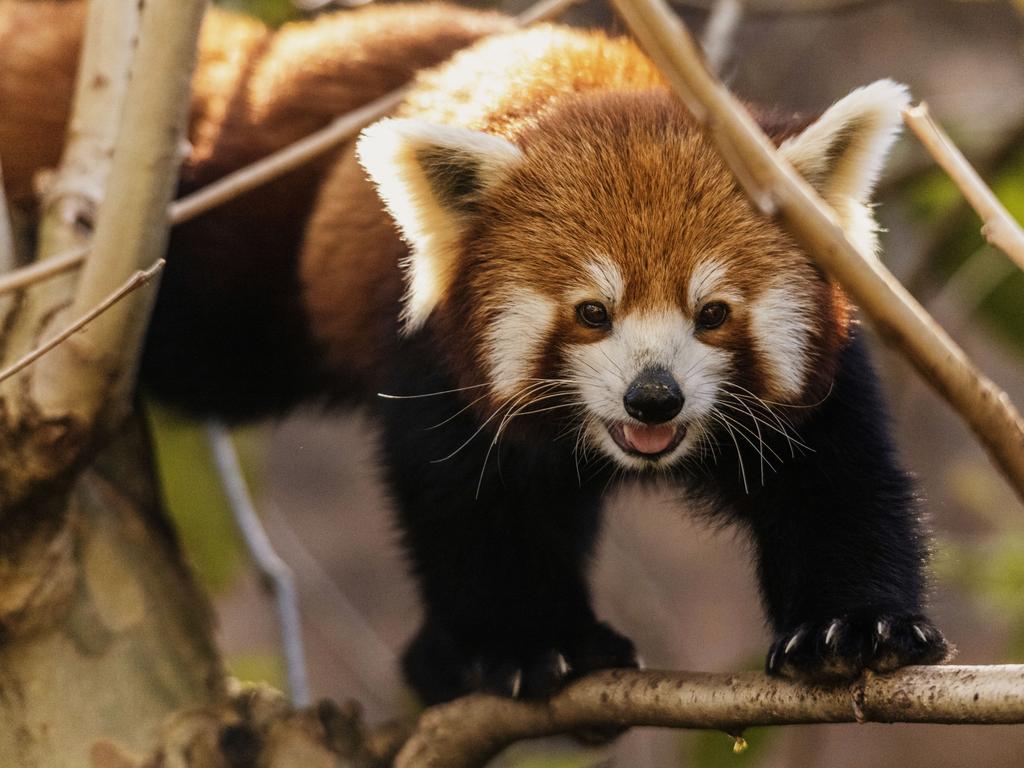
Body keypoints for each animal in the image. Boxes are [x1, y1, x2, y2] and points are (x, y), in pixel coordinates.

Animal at [0, 1, 946, 708]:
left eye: (713, 313)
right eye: (592, 313)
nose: (654, 398)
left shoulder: (824, 378)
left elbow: (840, 488)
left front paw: (853, 628)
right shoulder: (431, 358)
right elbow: (467, 507)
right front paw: (525, 646)